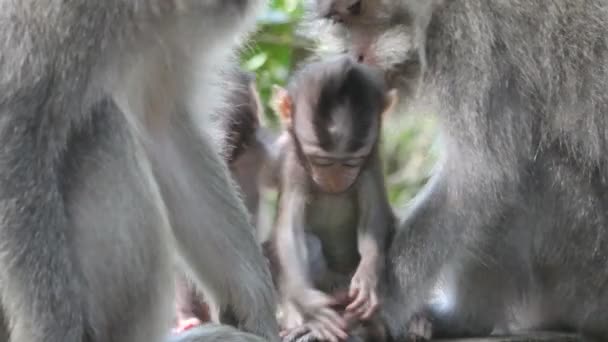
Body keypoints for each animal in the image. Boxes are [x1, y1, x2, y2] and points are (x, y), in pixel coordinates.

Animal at [268, 56, 396, 342]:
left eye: (351, 163)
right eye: (321, 161)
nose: (336, 182)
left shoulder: (370, 162)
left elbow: (374, 218)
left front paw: (369, 274)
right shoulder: (293, 165)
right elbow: (289, 232)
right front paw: (313, 308)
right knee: (310, 243)